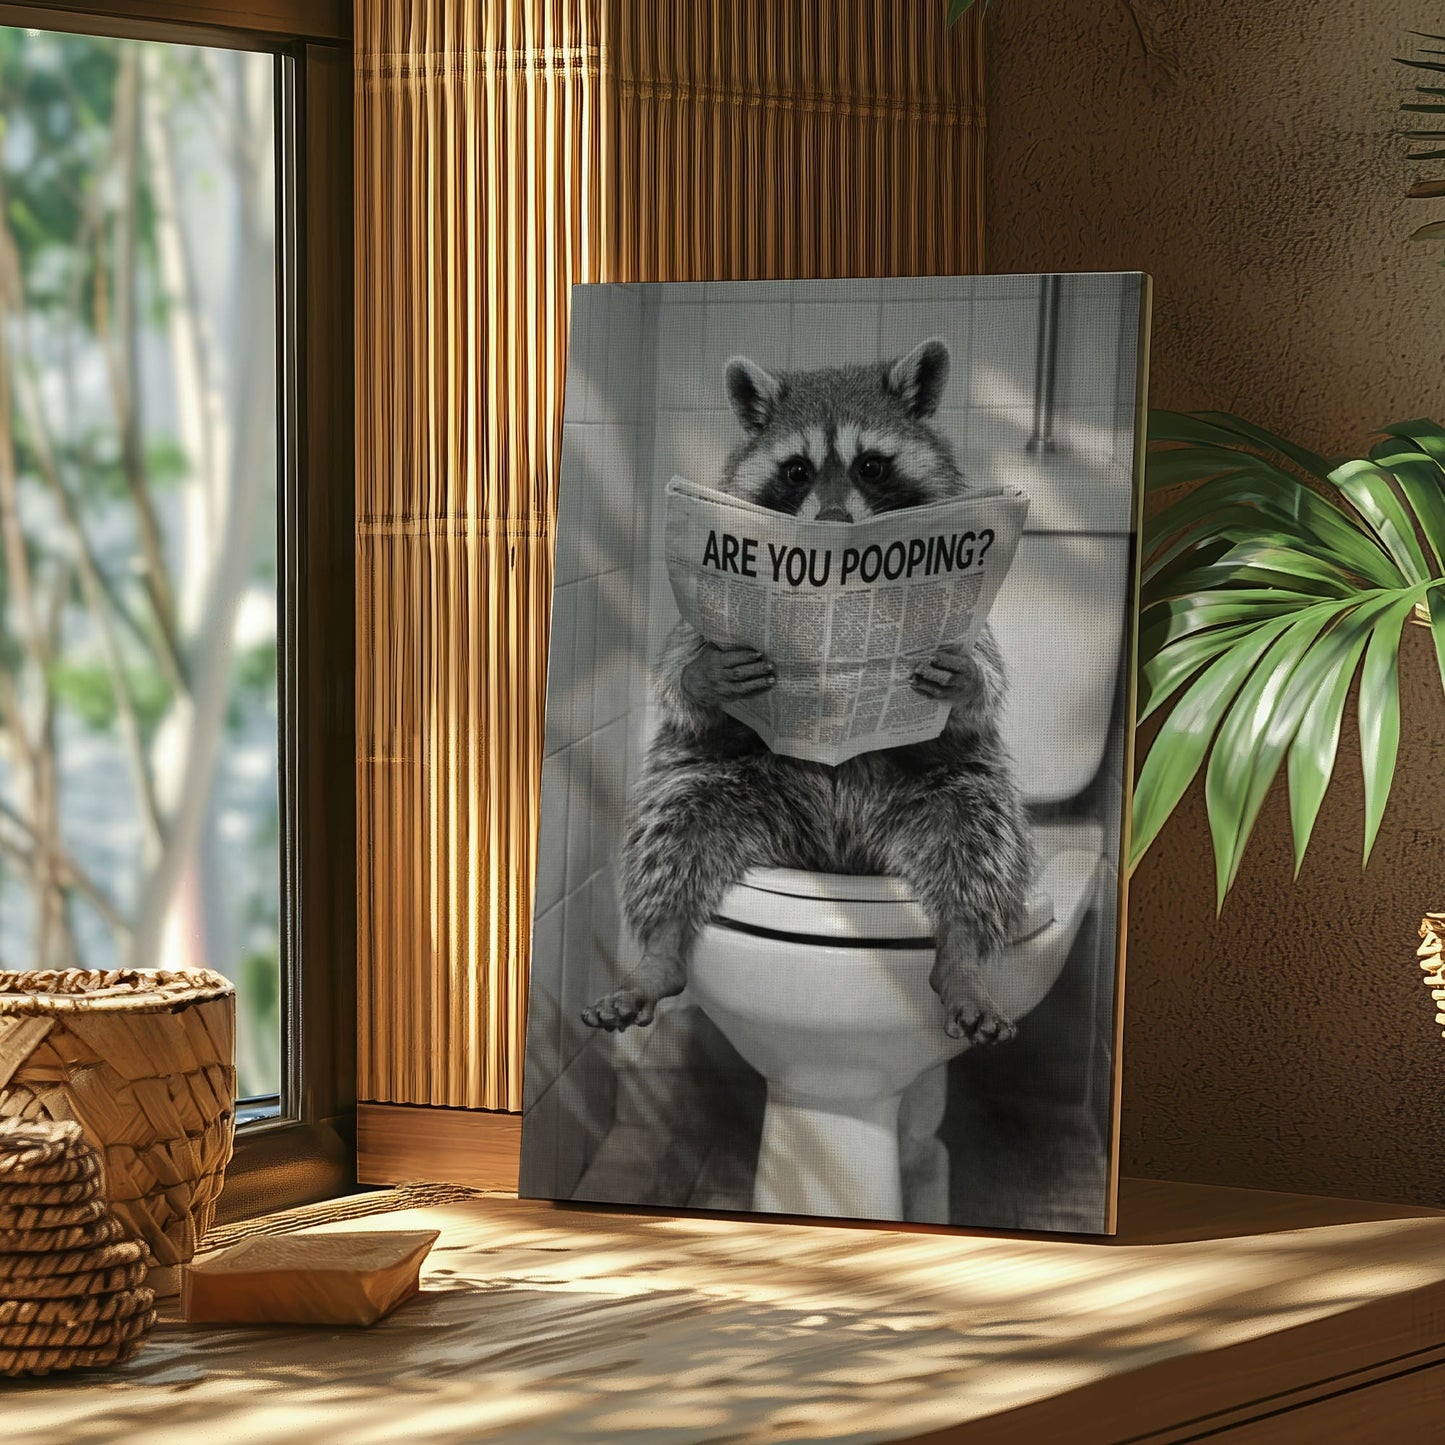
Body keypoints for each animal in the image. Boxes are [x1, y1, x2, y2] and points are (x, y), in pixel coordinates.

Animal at [581, 338, 1034, 1045]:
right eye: (796, 471)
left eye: (871, 465)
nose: (833, 521)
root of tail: (837, 855)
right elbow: (681, 668)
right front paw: (703, 675)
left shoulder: (963, 616)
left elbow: (982, 683)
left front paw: (963, 680)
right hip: (731, 782)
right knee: (677, 823)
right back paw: (659, 951)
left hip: (942, 786)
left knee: (976, 835)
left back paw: (961, 957)